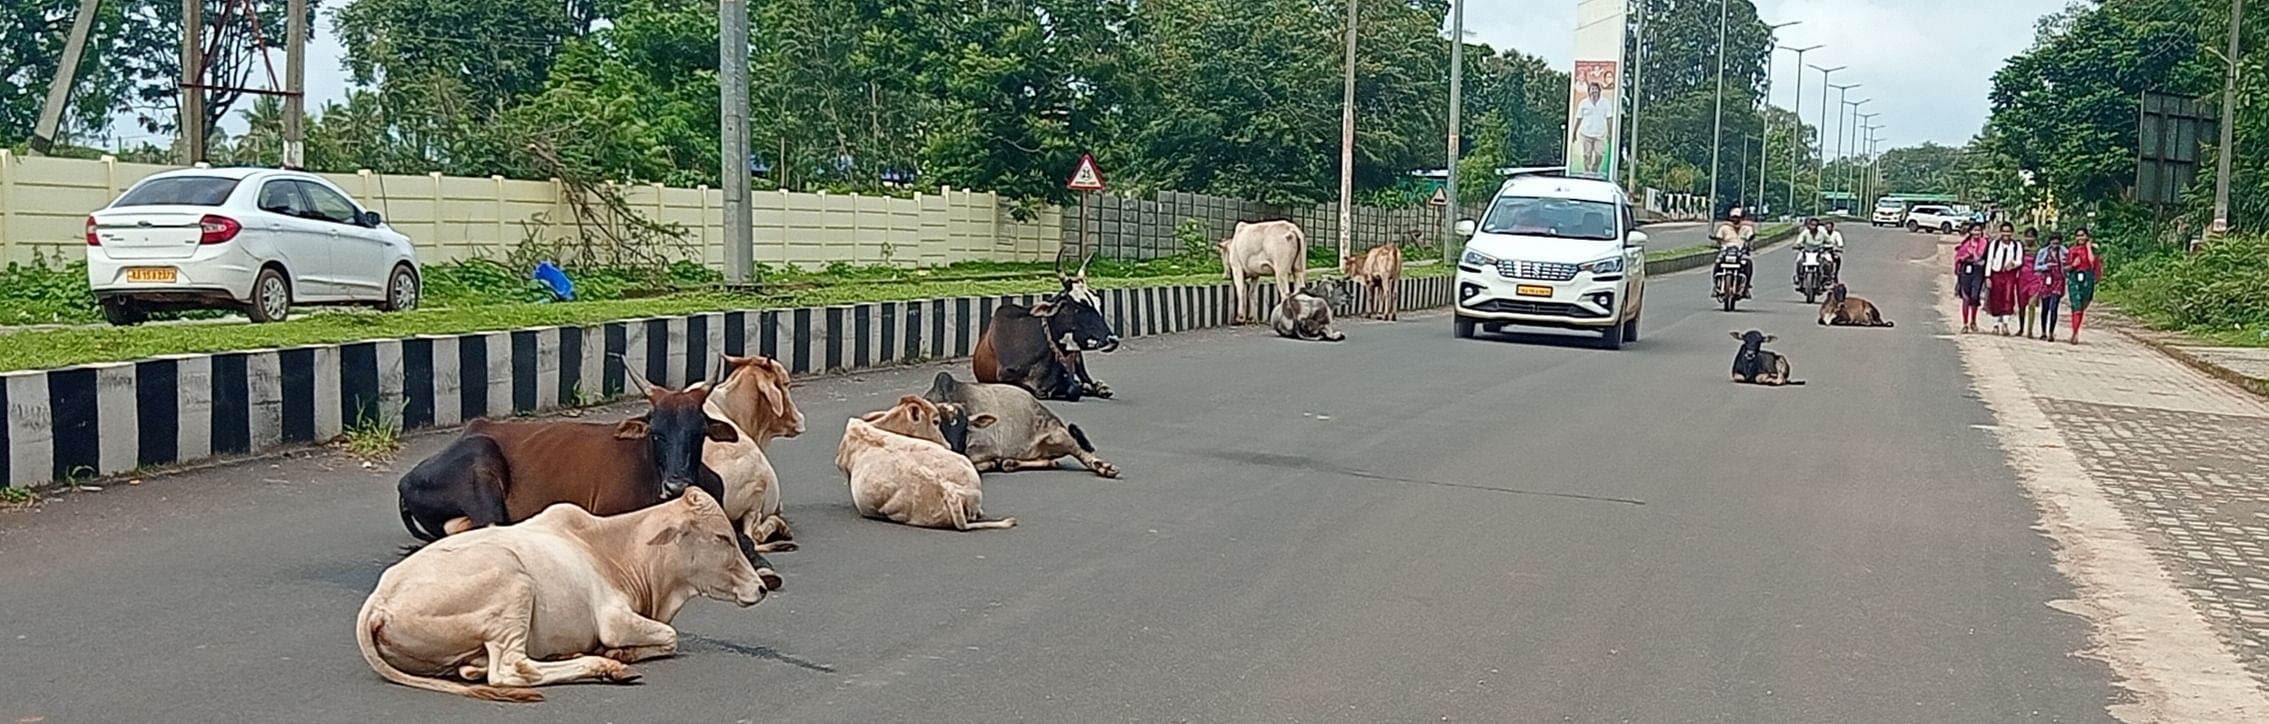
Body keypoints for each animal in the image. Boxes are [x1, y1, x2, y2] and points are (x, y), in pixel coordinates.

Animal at [351, 487, 780, 703]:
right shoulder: (613, 619)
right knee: (510, 670)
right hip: (513, 584)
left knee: (479, 669)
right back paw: (604, 667)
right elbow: (670, 637)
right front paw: (619, 655)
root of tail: (378, 601)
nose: (761, 586)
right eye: (722, 537)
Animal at [925, 374, 1120, 481]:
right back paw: (1011, 462)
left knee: (1083, 453)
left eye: (965, 429)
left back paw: (1105, 467)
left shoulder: (988, 447)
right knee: (1049, 462)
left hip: (1058, 434)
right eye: (937, 424)